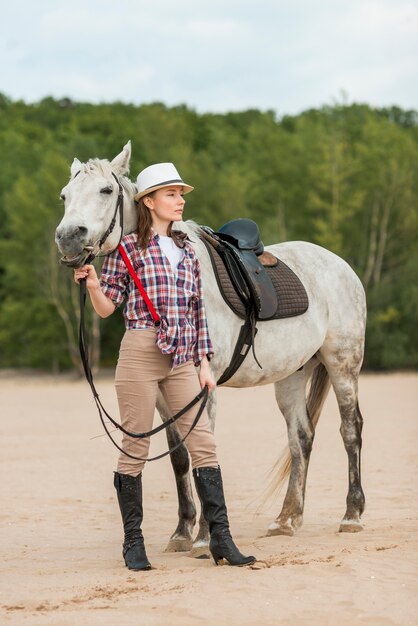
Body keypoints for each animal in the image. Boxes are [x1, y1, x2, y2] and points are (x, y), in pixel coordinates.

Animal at [54, 144, 366, 552]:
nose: (68, 238)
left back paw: (352, 514)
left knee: (351, 429)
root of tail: (340, 265)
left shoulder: (203, 389)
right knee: (301, 439)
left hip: (343, 364)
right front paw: (182, 532)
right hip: (292, 376)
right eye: (64, 196)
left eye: (106, 190)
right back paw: (287, 518)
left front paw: (204, 536)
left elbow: (202, 450)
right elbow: (180, 456)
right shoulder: (161, 394)